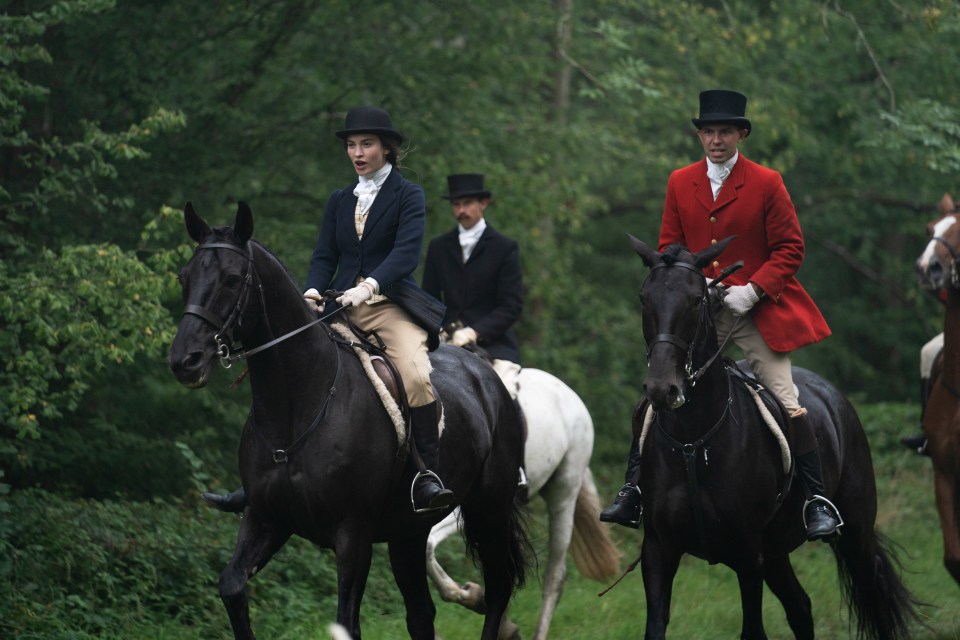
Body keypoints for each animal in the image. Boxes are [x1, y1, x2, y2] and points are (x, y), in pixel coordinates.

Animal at [165, 202, 524, 636]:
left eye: (232, 279)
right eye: (185, 277)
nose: (185, 361)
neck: (296, 407)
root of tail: (487, 374)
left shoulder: (353, 532)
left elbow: (346, 621)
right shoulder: (266, 517)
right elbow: (232, 586)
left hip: (490, 509)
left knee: (498, 587)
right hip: (408, 532)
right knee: (422, 614)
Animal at [628, 235, 920, 640]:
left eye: (696, 299)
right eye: (645, 298)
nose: (662, 389)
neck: (693, 442)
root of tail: (833, 394)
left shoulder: (748, 553)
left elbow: (753, 630)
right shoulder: (658, 549)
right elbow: (655, 627)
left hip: (854, 533)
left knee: (870, 596)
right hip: (777, 552)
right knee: (801, 608)